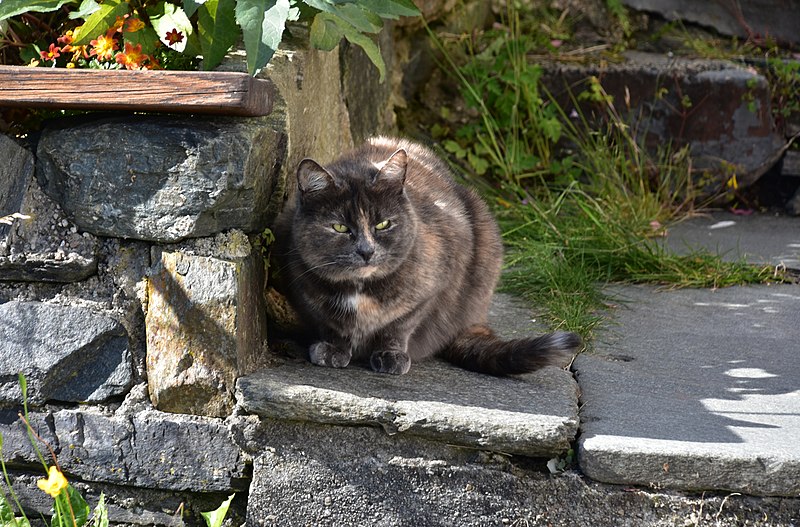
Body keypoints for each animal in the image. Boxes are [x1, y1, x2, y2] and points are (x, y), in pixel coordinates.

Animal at [270, 136, 580, 376]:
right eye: (340, 227)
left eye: (383, 224)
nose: (367, 251)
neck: (360, 290)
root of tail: (476, 319)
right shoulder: (304, 288)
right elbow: (329, 322)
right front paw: (333, 349)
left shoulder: (433, 285)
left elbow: (399, 324)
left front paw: (390, 355)